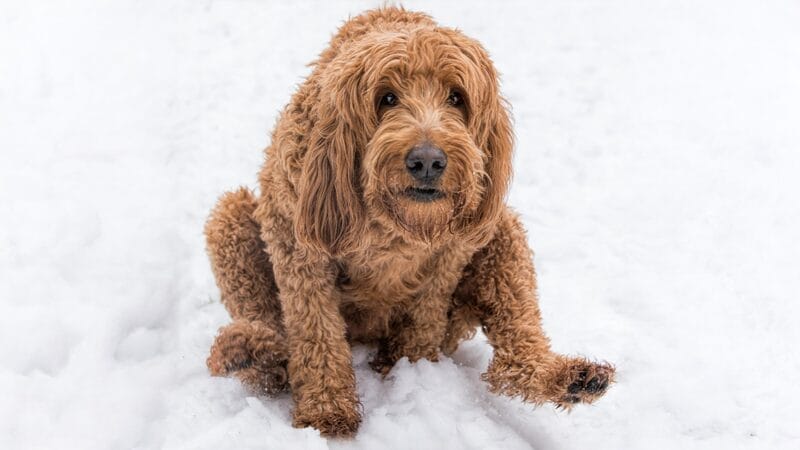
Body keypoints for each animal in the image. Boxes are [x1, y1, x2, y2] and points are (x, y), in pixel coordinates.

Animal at [205, 6, 612, 436]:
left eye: (456, 97)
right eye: (387, 98)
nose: (428, 161)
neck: (395, 225)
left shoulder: (451, 253)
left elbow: (424, 315)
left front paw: (410, 366)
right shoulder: (297, 242)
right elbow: (316, 331)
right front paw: (325, 412)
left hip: (501, 231)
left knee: (516, 345)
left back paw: (569, 378)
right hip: (230, 219)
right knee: (267, 323)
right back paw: (251, 355)